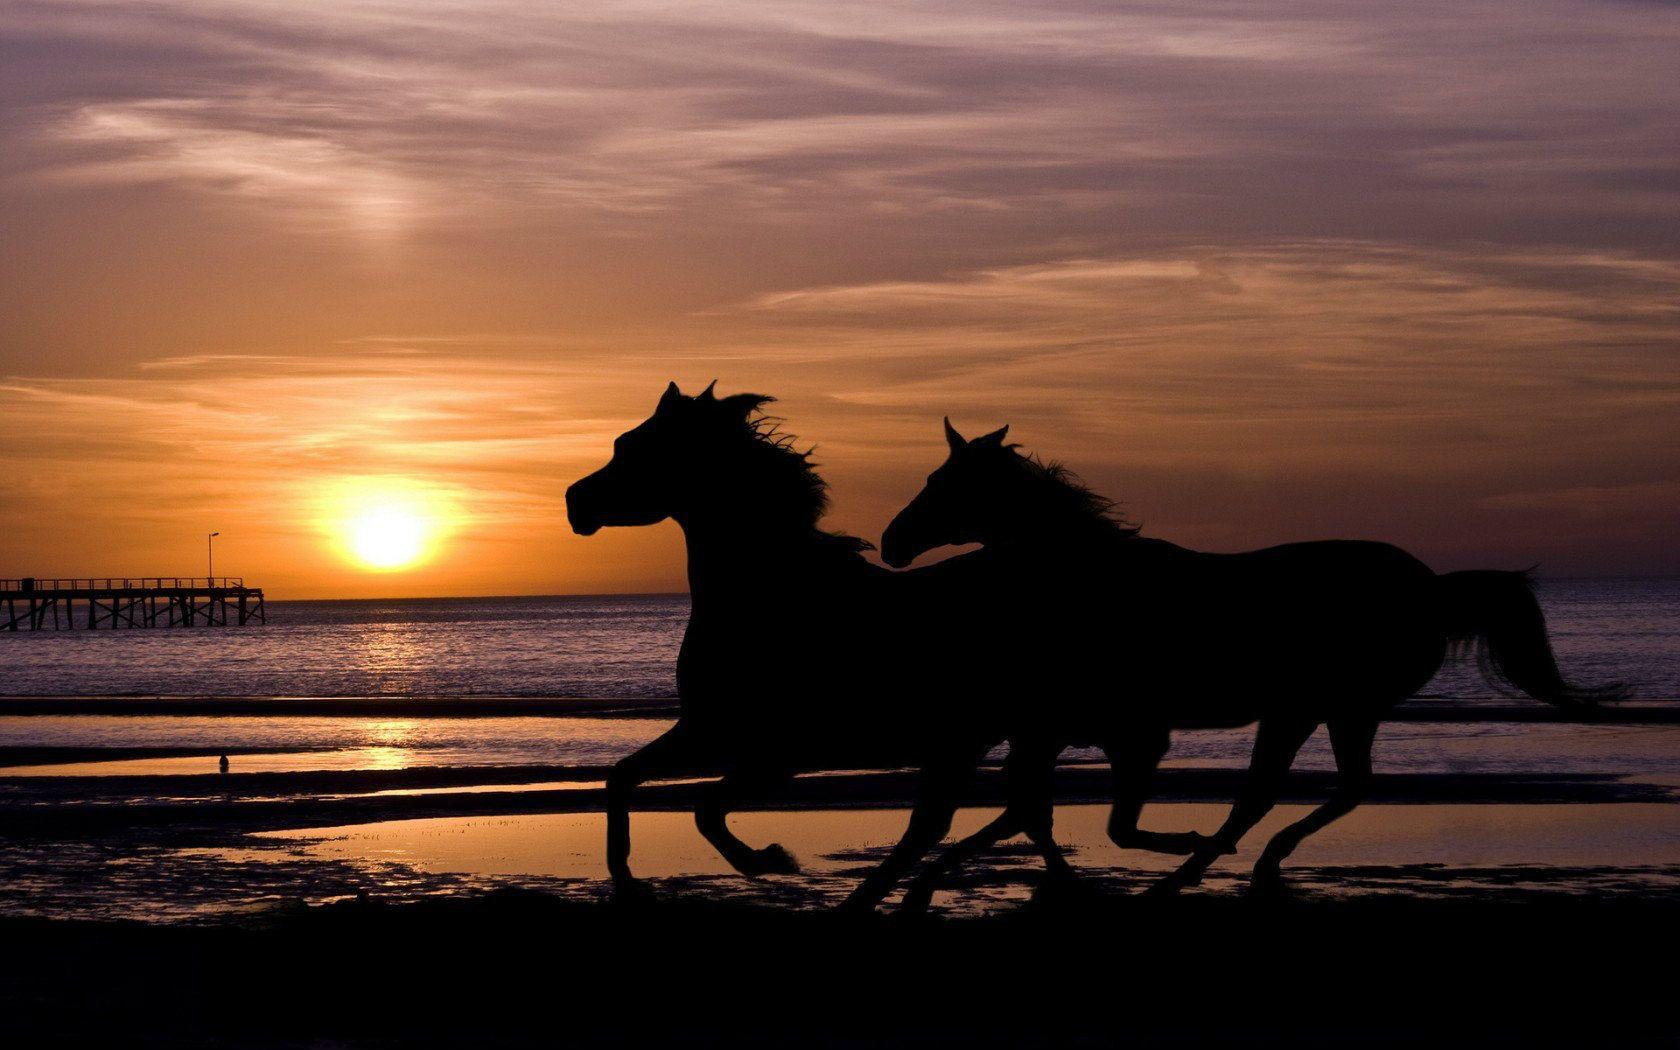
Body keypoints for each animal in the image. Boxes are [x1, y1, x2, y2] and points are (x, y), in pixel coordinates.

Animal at [565, 383, 1078, 908]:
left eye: (634, 448)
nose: (574, 502)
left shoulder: (775, 752)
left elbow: (704, 808)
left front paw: (771, 859)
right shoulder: (705, 732)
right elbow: (622, 779)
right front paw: (628, 882)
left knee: (980, 818)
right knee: (1003, 814)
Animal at [881, 418, 1621, 899]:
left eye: (943, 481)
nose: (891, 542)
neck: (1098, 583)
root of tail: (1430, 588)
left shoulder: (1129, 730)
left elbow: (1096, 819)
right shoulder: (1070, 725)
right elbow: (1034, 808)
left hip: (1324, 707)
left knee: (1291, 794)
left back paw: (1214, 865)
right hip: (1319, 711)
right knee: (1311, 790)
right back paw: (1237, 862)